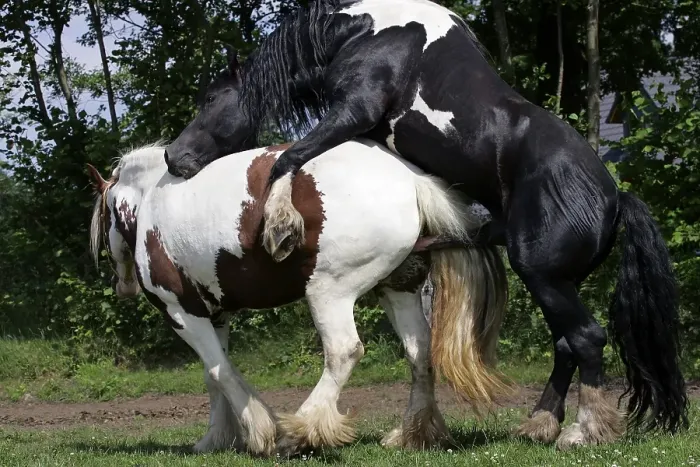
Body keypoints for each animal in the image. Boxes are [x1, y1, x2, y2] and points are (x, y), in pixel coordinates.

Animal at [86, 139, 509, 456]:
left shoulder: (182, 314)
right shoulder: (215, 315)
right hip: (398, 290)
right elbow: (213, 374)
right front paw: (216, 439)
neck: (151, 202)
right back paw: (411, 433)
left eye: (104, 219)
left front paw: (260, 431)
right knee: (419, 353)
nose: (121, 285)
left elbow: (221, 372)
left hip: (329, 293)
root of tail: (411, 178)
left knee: (344, 352)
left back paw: (301, 431)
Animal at [162, 0, 688, 449]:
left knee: (586, 339)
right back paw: (539, 425)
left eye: (212, 98)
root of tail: (615, 198)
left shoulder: (354, 111)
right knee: (565, 345)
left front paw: (279, 224)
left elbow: (287, 158)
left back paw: (583, 432)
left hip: (543, 277)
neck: (367, 31)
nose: (172, 156)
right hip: (555, 283)